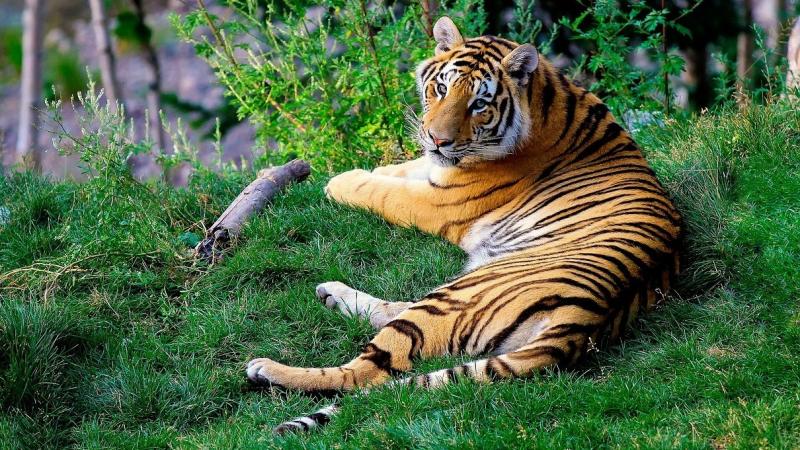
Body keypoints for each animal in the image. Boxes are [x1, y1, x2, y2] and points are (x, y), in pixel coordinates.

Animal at [246, 16, 682, 434]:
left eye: (479, 104)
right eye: (440, 88)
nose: (438, 139)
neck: (546, 99)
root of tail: (585, 321)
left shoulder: (438, 201)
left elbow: (383, 191)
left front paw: (339, 181)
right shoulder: (435, 170)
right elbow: (401, 169)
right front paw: (367, 168)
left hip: (458, 294)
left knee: (366, 372)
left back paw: (267, 369)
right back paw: (331, 294)